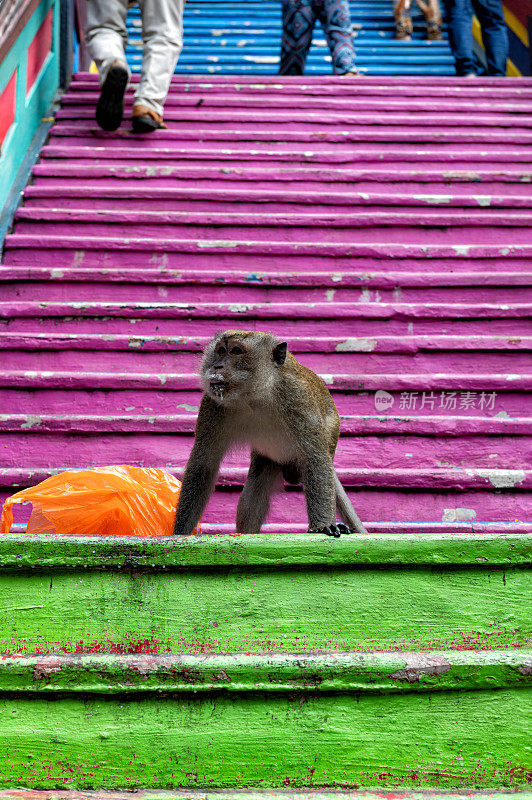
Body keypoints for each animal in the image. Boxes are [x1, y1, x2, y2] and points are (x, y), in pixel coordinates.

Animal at [172, 328, 368, 540]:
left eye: (236, 351)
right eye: (221, 350)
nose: (217, 365)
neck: (255, 396)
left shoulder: (296, 396)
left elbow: (314, 457)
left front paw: (323, 525)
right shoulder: (212, 404)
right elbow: (204, 465)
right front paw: (179, 532)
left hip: (332, 434)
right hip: (268, 458)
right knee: (255, 490)